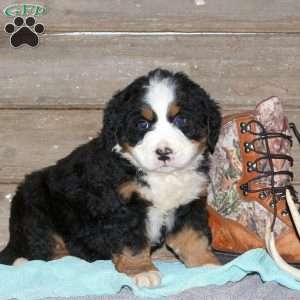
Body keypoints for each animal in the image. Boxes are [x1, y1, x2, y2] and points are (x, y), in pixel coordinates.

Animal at [0, 68, 220, 288]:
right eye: (142, 123)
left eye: (182, 120)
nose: (164, 153)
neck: (162, 177)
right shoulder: (123, 208)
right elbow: (133, 242)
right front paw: (142, 271)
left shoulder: (189, 203)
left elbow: (194, 237)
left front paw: (207, 265)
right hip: (36, 210)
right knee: (44, 252)